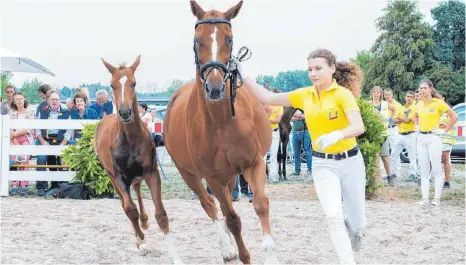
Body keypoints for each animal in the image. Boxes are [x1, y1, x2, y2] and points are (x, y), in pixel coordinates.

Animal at [93, 55, 181, 262]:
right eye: (112, 84)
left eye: (133, 83)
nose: (125, 112)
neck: (130, 138)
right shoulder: (119, 177)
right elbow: (129, 209)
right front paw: (140, 240)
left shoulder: (151, 172)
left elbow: (161, 215)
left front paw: (177, 258)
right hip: (110, 175)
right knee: (125, 203)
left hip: (137, 175)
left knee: (137, 188)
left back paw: (145, 220)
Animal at [164, 1, 278, 262]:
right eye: (197, 40)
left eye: (229, 38)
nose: (214, 87)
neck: (222, 122)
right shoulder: (211, 177)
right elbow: (232, 218)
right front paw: (242, 255)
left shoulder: (253, 163)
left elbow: (260, 204)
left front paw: (270, 256)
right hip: (188, 173)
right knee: (209, 204)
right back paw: (227, 248)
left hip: (231, 175)